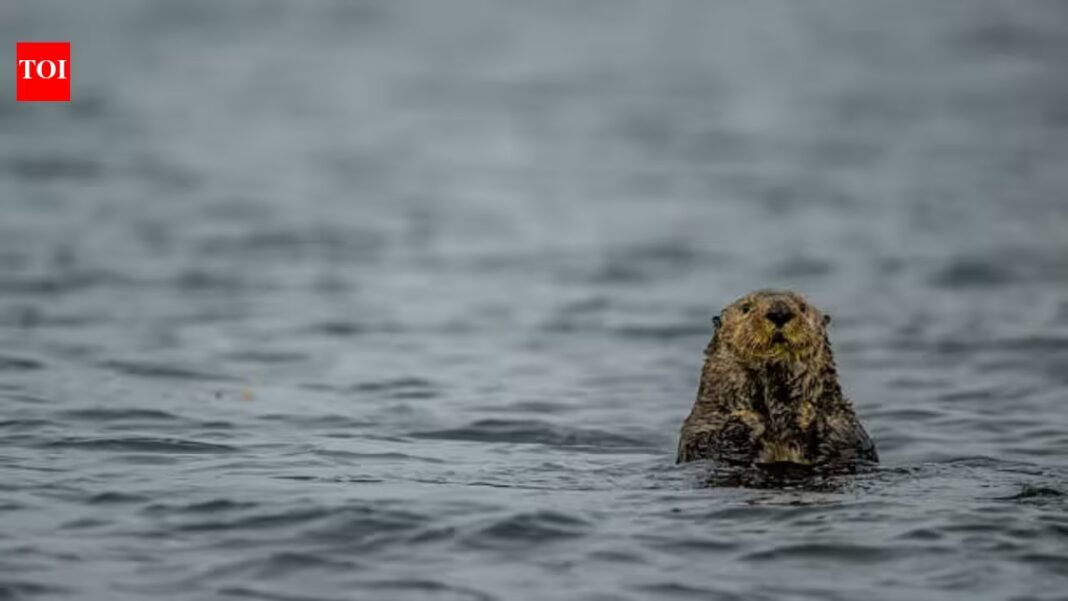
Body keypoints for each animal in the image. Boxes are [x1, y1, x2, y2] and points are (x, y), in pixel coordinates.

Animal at [677, 289, 877, 471]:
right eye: (746, 308)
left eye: (803, 307)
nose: (780, 312)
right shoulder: (702, 422)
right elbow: (702, 447)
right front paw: (748, 420)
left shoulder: (843, 421)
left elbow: (849, 444)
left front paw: (806, 412)